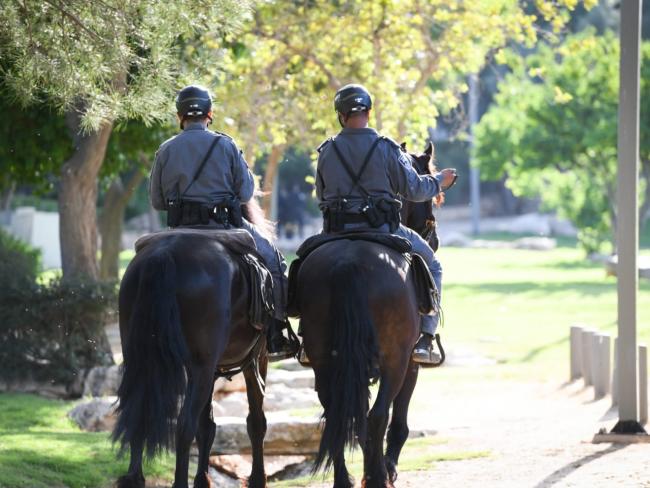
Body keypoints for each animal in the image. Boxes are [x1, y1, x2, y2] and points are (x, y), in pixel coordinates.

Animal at [111, 199, 270, 488]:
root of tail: (163, 254)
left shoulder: (214, 368)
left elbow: (207, 424)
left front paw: (203, 478)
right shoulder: (255, 360)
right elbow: (255, 421)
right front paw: (256, 478)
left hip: (141, 359)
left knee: (140, 412)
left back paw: (135, 477)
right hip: (202, 366)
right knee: (184, 424)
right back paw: (179, 481)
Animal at [294, 143, 440, 486]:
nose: (435, 238)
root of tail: (348, 263)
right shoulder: (409, 364)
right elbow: (396, 420)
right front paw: (389, 466)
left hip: (324, 358)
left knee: (339, 413)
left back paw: (345, 479)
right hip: (395, 360)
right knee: (377, 416)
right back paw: (377, 476)